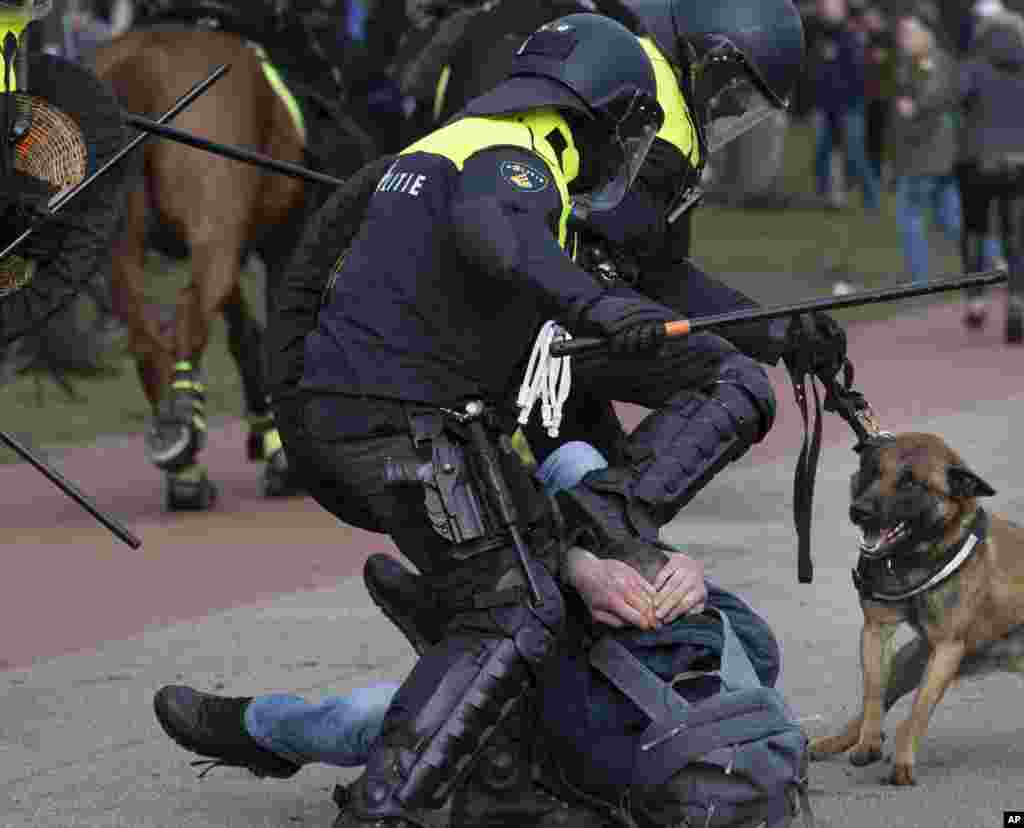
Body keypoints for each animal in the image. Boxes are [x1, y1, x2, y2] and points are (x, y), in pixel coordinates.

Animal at [92, 27, 372, 509]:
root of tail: (140, 64)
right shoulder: (285, 240)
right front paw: (282, 456)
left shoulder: (232, 244)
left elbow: (245, 335)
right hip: (214, 234)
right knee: (187, 320)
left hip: (132, 248)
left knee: (148, 336)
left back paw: (182, 463)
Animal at [806, 429, 1024, 786]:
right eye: (871, 471)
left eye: (911, 483)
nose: (859, 511)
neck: (917, 557)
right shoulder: (877, 632)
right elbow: (873, 694)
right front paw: (869, 742)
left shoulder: (947, 650)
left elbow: (918, 711)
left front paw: (903, 759)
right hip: (908, 661)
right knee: (871, 707)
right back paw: (836, 742)